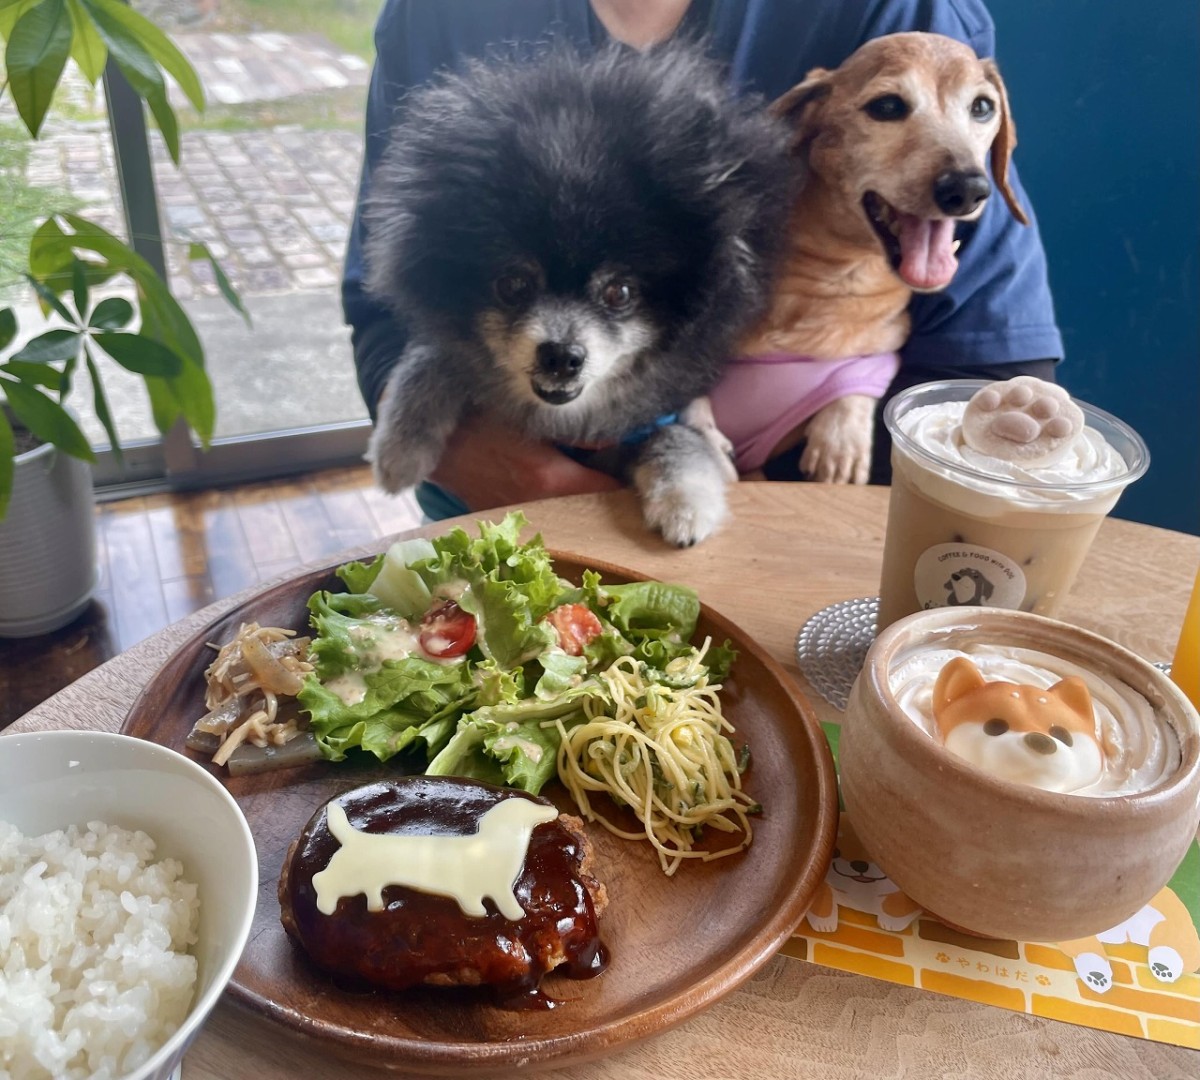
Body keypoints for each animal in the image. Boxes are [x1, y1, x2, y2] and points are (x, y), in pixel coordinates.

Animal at [364, 42, 796, 549]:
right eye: (513, 284)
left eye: (620, 291)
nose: (561, 355)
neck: (572, 418)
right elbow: (429, 358)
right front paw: (399, 450)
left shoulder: (664, 416)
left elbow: (680, 443)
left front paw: (686, 505)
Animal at [710, 31, 1032, 482]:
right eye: (888, 106)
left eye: (982, 107)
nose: (967, 188)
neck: (830, 278)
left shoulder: (875, 351)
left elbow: (856, 387)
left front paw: (840, 440)